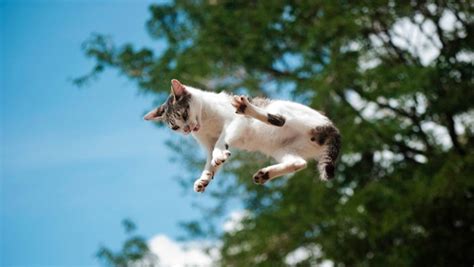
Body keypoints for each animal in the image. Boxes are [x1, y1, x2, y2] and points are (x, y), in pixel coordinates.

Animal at [144, 78, 340, 194]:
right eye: (175, 127)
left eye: (184, 114)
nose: (187, 130)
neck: (205, 122)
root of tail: (332, 127)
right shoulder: (207, 144)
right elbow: (210, 160)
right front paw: (205, 177)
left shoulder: (234, 123)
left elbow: (221, 141)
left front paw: (219, 155)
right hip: (282, 149)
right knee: (299, 163)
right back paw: (264, 174)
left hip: (280, 108)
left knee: (280, 120)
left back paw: (246, 107)